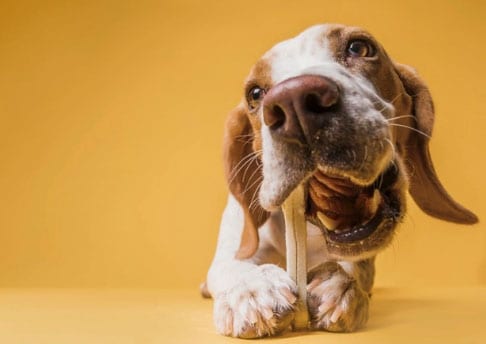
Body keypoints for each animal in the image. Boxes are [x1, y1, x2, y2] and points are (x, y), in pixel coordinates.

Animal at [202, 23, 478, 338]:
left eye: (358, 47)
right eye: (255, 93)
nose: (294, 100)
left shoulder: (364, 258)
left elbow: (357, 268)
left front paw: (342, 286)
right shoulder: (235, 244)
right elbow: (231, 266)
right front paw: (252, 290)